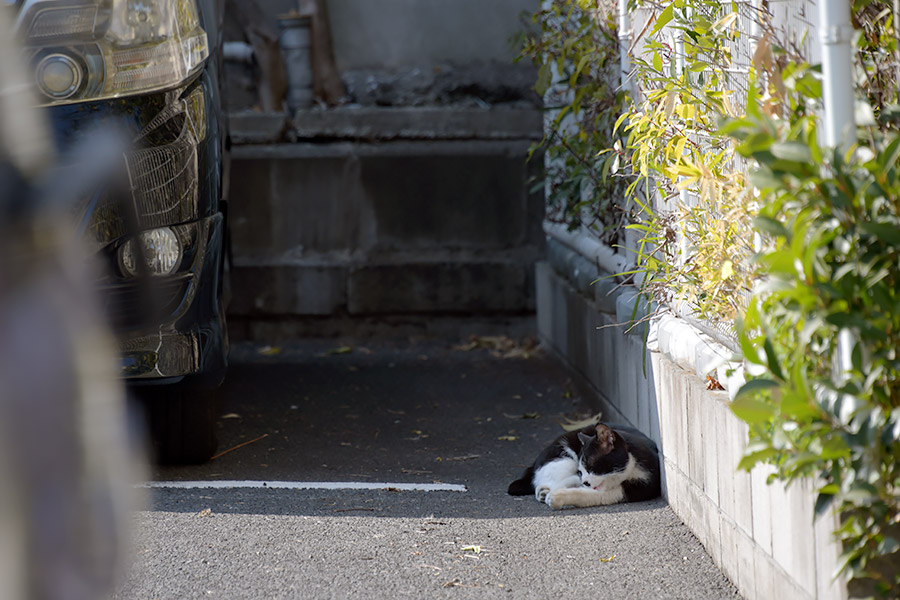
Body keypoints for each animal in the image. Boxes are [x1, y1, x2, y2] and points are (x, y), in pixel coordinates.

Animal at [506, 420, 660, 508]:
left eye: (592, 466)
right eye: (580, 471)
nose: (585, 482)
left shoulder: (640, 487)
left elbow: (594, 495)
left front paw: (558, 496)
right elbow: (571, 482)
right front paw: (554, 493)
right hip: (565, 460)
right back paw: (543, 492)